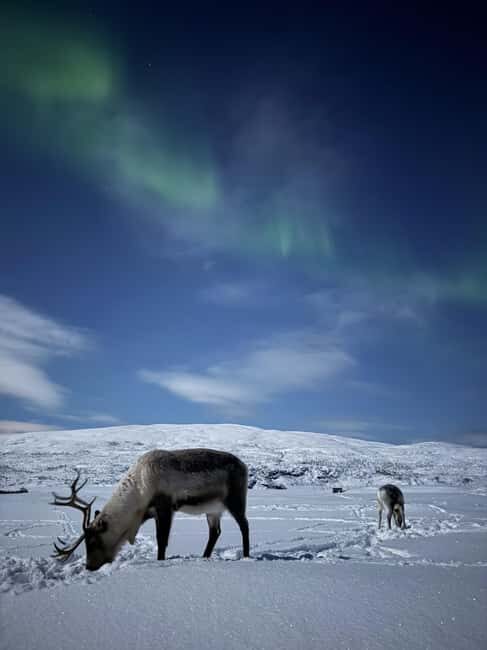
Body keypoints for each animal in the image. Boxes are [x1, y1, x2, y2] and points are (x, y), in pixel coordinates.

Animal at [51, 449, 250, 571]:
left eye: (93, 541)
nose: (89, 567)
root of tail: (244, 466)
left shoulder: (165, 506)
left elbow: (162, 540)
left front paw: (160, 562)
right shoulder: (153, 512)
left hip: (235, 500)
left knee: (244, 525)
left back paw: (247, 557)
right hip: (213, 510)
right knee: (215, 532)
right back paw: (204, 557)